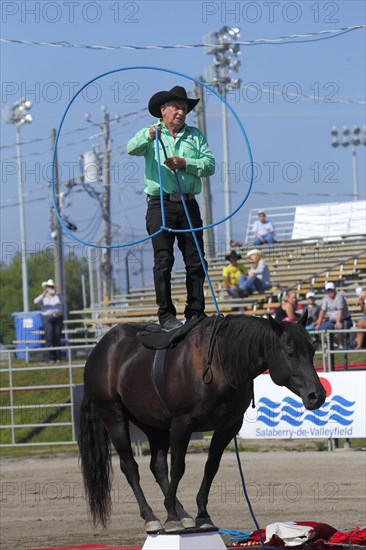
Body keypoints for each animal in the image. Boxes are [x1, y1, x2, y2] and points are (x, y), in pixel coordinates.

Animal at [78, 314, 324, 536]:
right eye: (290, 352)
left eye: (312, 352)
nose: (317, 395)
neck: (220, 364)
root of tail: (101, 348)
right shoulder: (182, 424)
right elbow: (178, 467)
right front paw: (170, 515)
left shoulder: (227, 427)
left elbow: (210, 467)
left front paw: (202, 516)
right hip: (114, 416)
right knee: (130, 467)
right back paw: (152, 517)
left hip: (153, 425)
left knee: (157, 467)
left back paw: (182, 514)